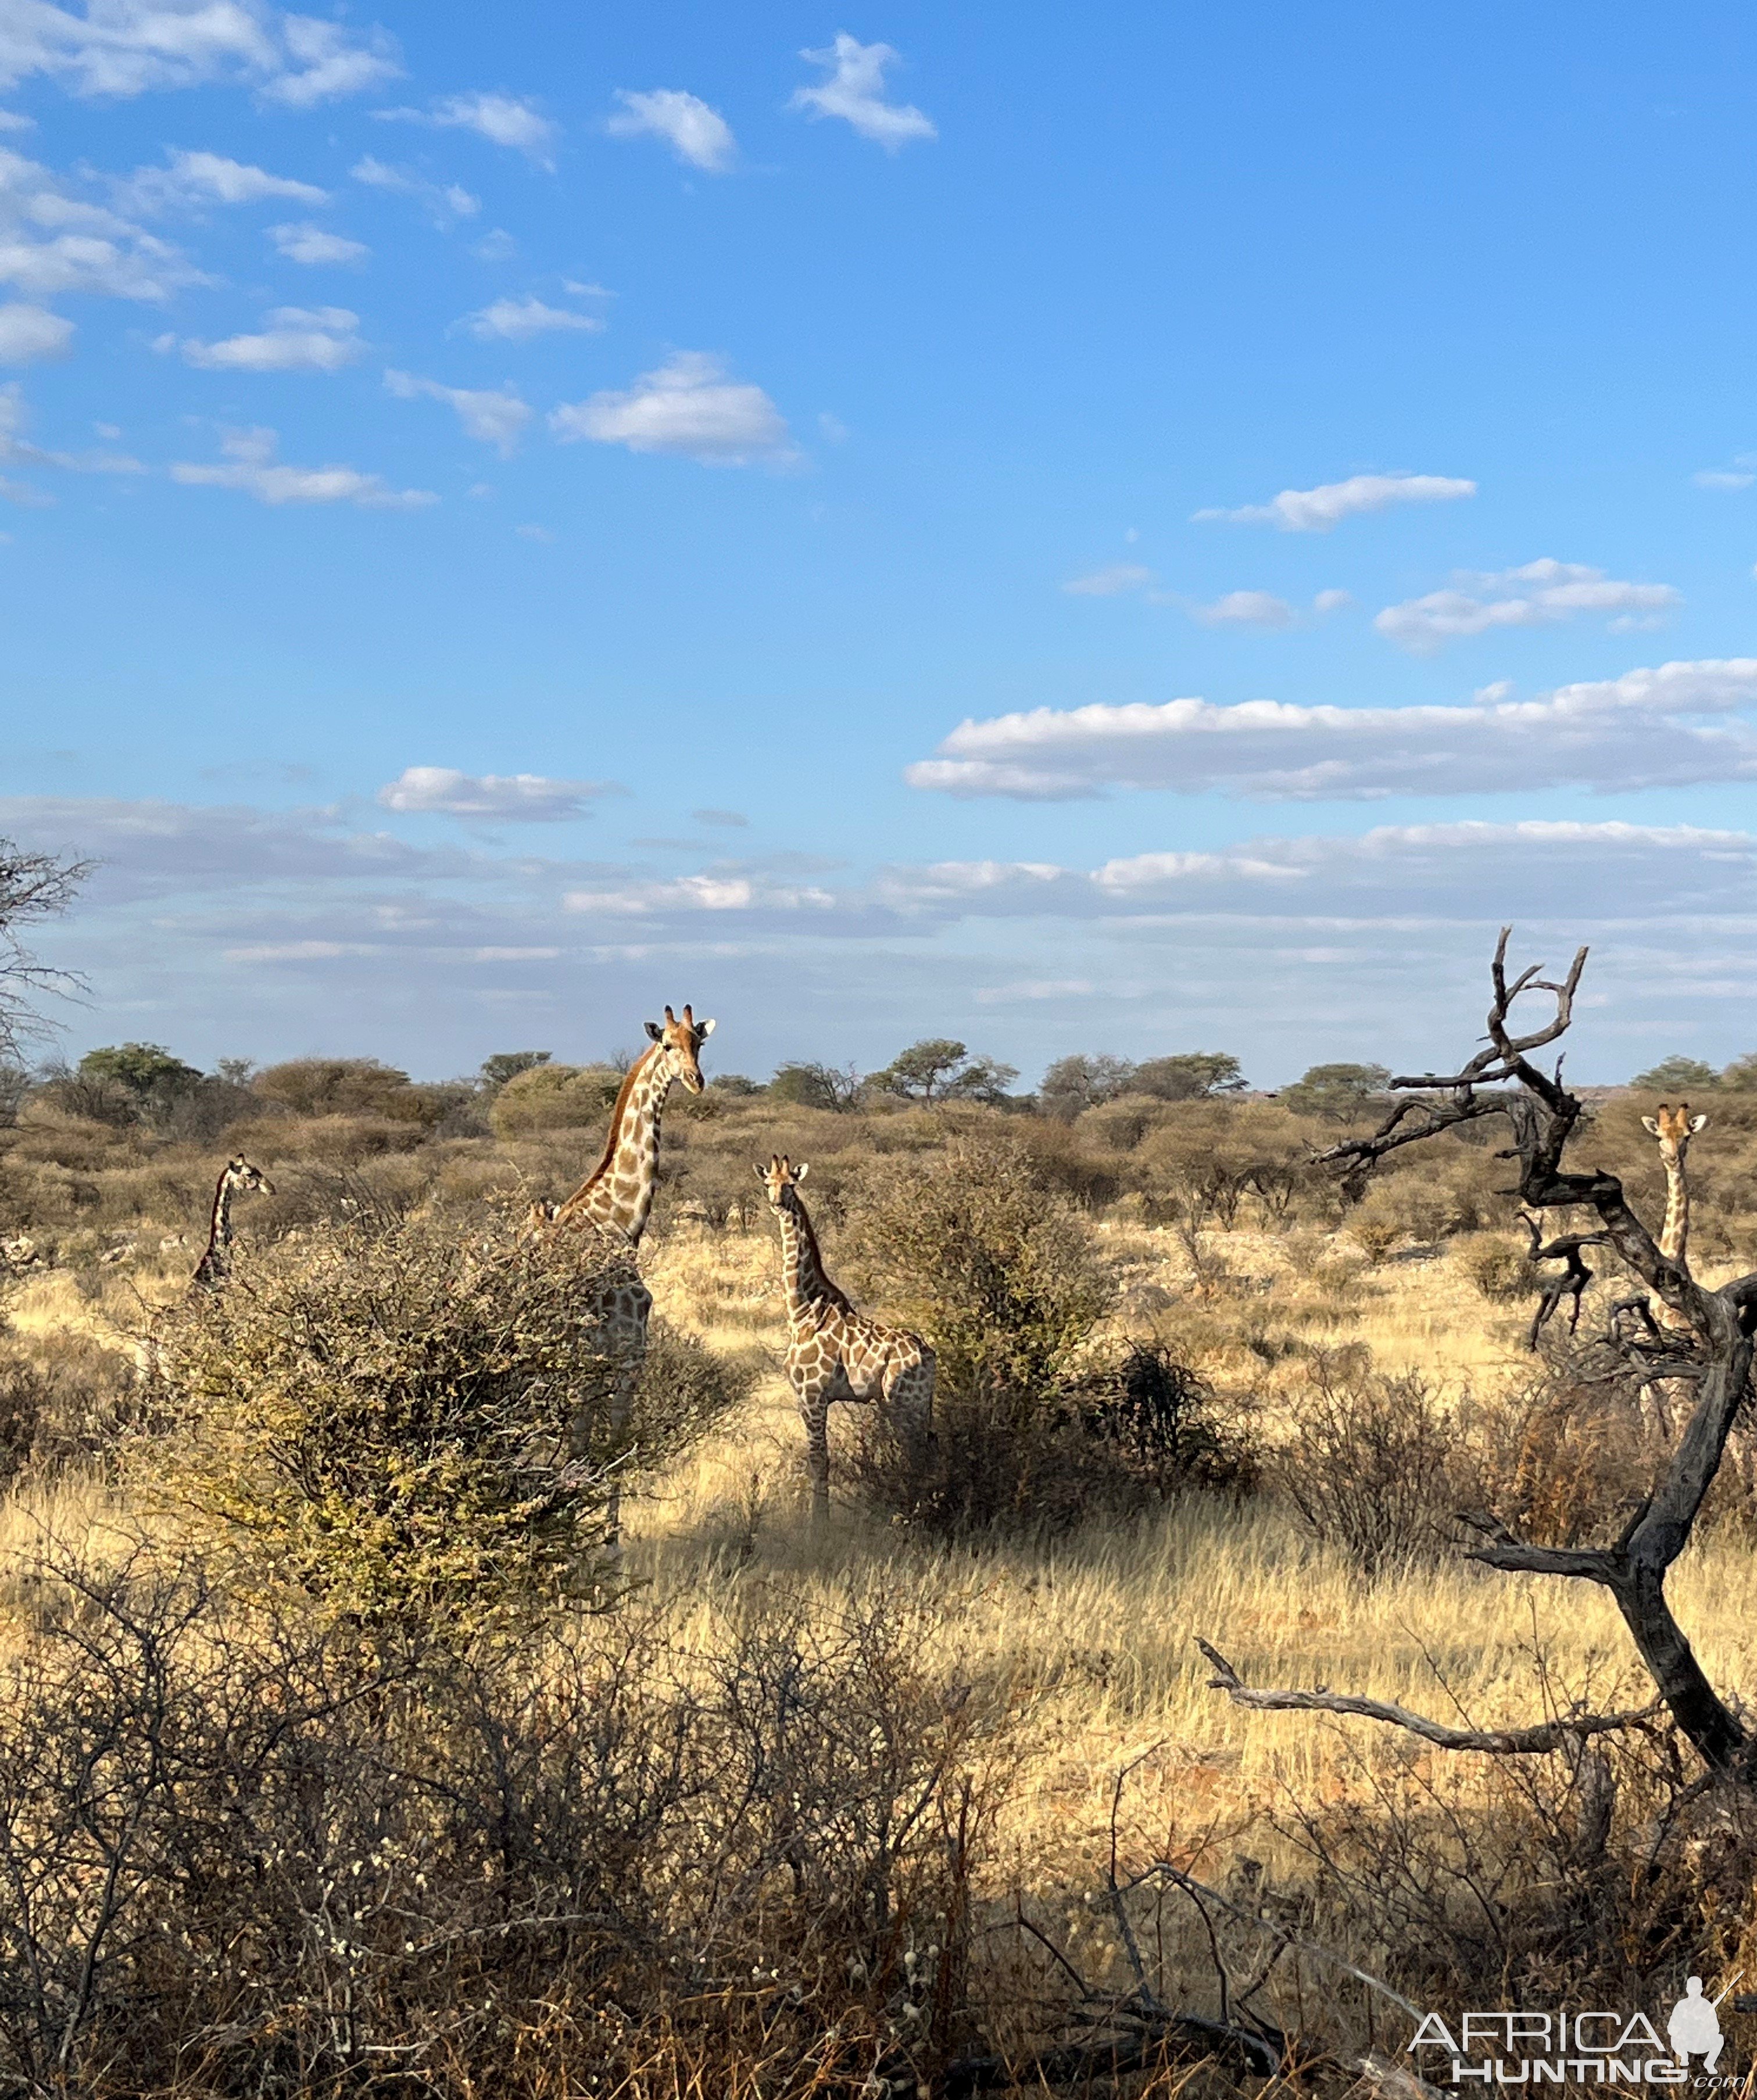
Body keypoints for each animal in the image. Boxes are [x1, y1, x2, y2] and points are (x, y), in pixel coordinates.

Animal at [536, 1008, 714, 1537]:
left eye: (699, 1043)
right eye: (667, 1046)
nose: (696, 1081)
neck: (622, 1226)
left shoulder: (619, 1359)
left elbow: (605, 1444)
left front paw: (600, 1538)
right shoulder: (610, 1356)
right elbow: (594, 1446)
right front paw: (594, 1539)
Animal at [761, 1159, 941, 1520]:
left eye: (791, 1184)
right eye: (768, 1183)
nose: (777, 1202)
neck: (802, 1309)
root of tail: (930, 1357)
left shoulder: (814, 1394)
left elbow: (819, 1460)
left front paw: (819, 1525)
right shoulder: (804, 1398)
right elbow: (818, 1460)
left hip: (905, 1402)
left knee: (918, 1453)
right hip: (902, 1404)